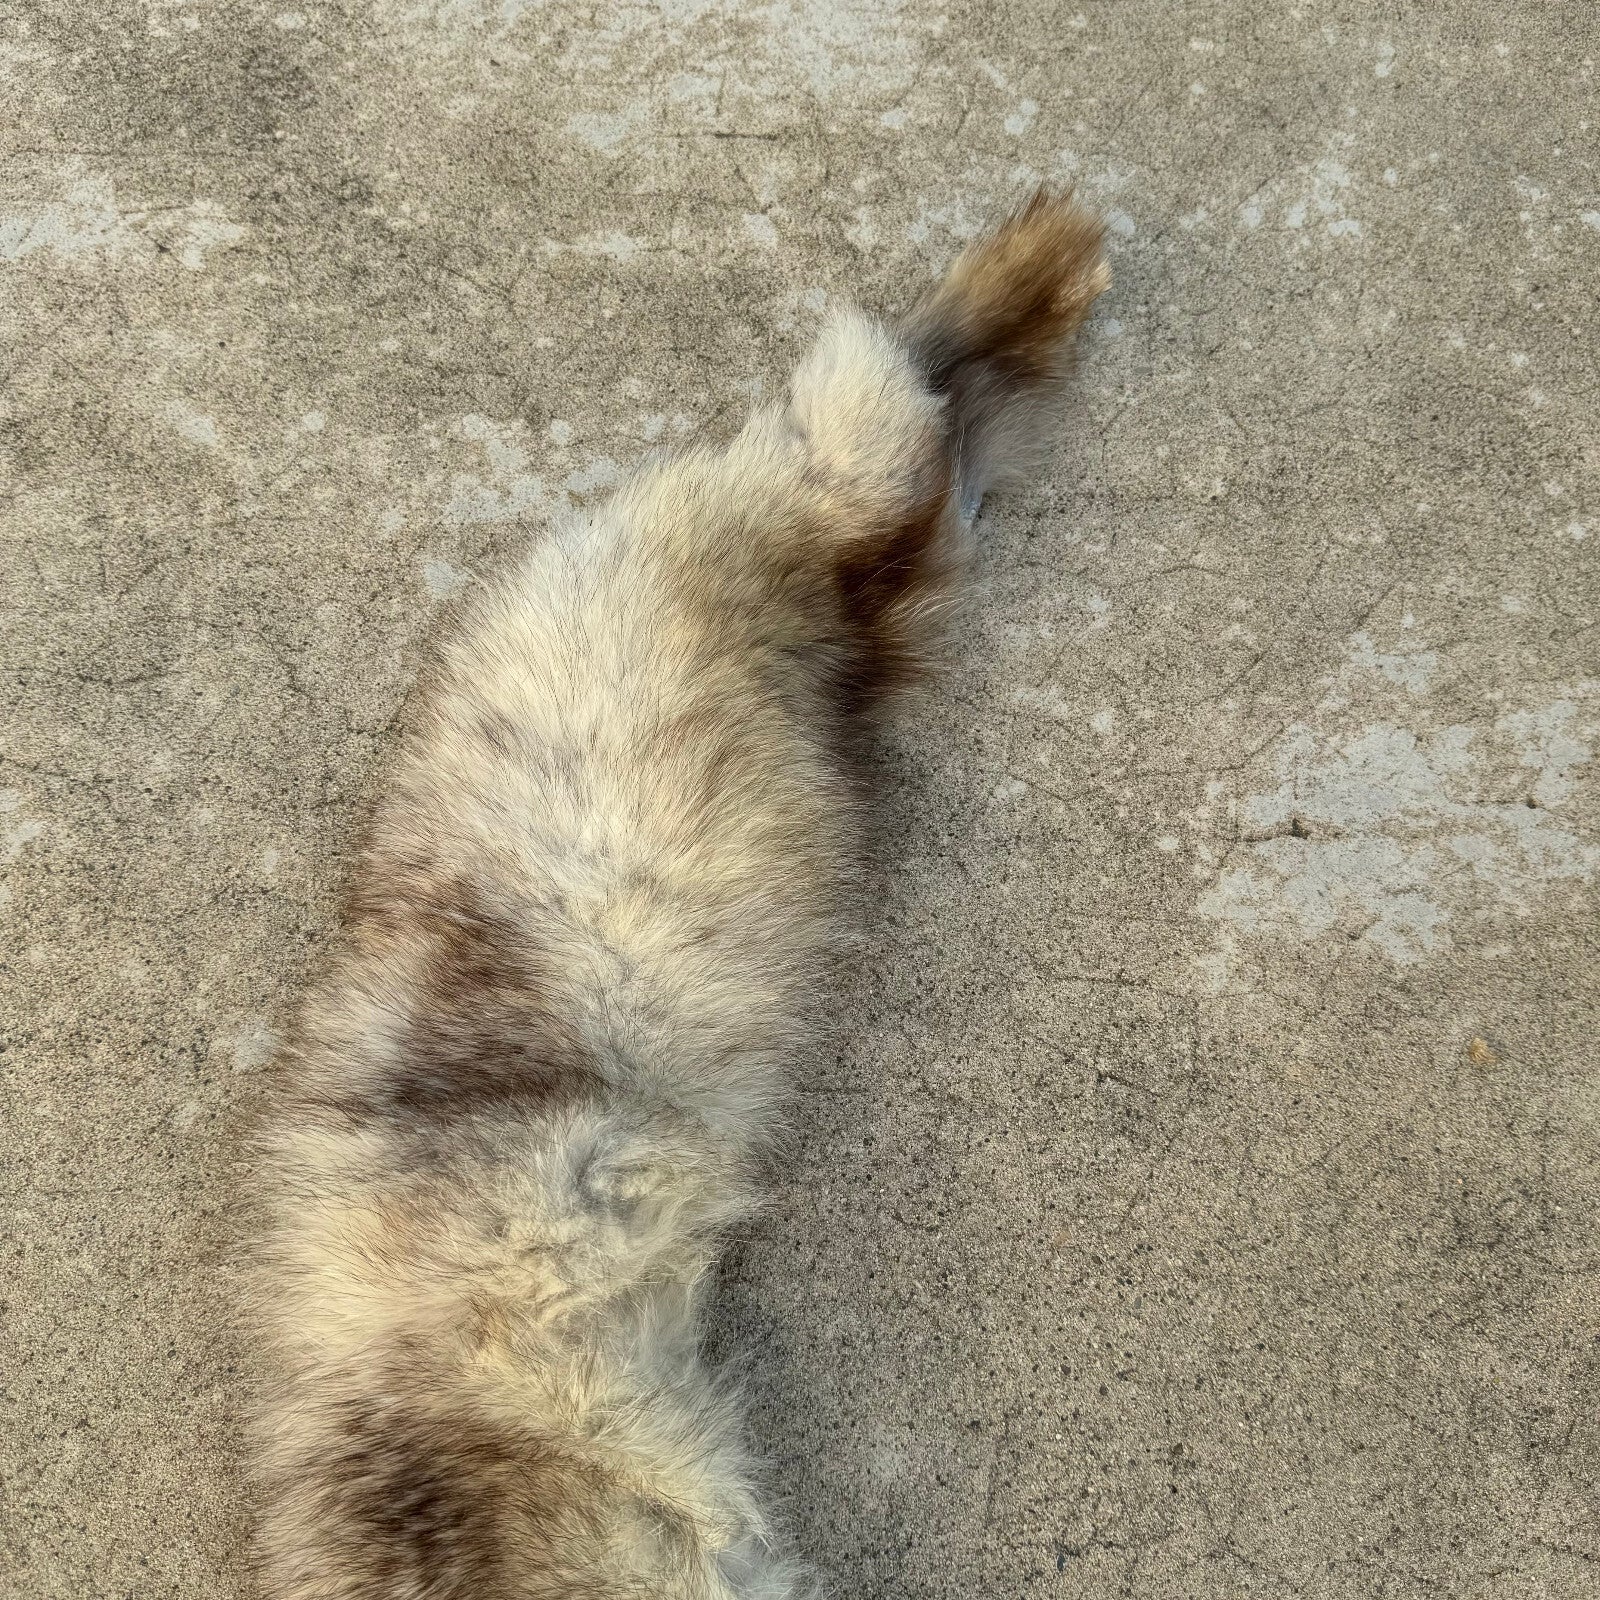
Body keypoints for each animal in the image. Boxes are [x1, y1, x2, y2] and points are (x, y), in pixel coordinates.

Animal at [248, 188, 1109, 1599]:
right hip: (868, 595)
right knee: (926, 439)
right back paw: (1028, 299)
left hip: (810, 523)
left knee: (885, 400)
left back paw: (1038, 262)